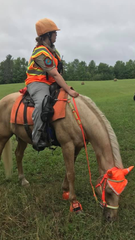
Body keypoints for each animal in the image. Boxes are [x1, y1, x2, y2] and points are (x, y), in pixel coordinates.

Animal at [0, 91, 132, 221]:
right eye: (108, 191)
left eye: (121, 191)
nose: (111, 217)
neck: (78, 117)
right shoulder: (67, 145)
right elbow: (71, 174)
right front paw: (74, 203)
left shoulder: (77, 146)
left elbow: (69, 169)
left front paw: (65, 190)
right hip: (3, 136)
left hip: (22, 137)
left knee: (18, 155)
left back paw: (23, 180)